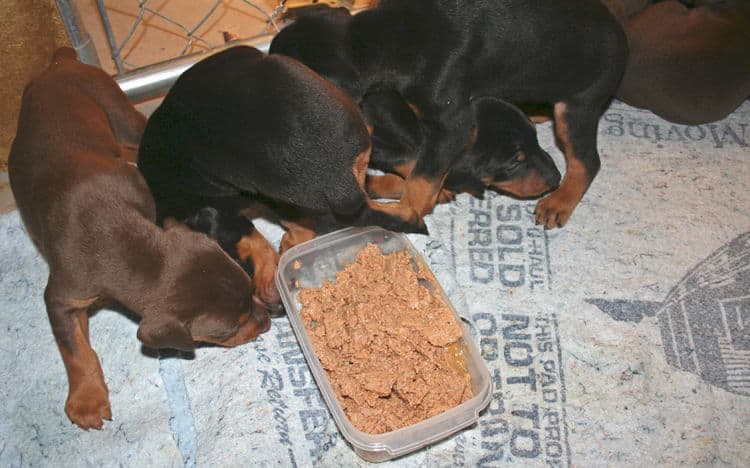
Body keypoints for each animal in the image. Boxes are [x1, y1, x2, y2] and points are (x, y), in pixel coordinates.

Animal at [7, 48, 272, 432]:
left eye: (251, 292)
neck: (122, 240)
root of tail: (60, 62)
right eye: (231, 327)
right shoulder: (62, 295)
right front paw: (87, 400)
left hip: (120, 114)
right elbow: (75, 350)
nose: (267, 321)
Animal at [270, 0, 628, 229]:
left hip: (579, 103)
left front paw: (404, 212)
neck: (388, 37)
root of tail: (620, 33)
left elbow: (421, 178)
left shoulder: (452, 126)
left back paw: (559, 201)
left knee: (587, 161)